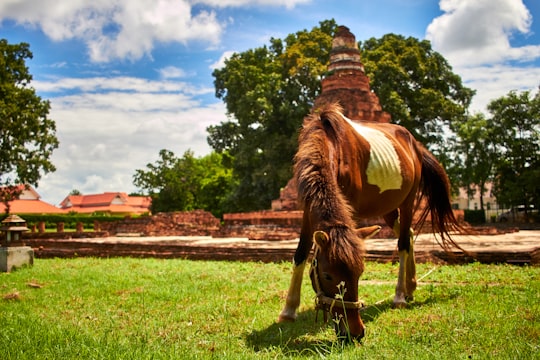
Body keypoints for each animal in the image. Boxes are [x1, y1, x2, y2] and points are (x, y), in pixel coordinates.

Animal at [278, 103, 460, 340]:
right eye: (327, 275)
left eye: (360, 274)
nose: (355, 332)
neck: (330, 145)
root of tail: (415, 145)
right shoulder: (309, 208)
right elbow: (300, 253)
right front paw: (289, 310)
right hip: (388, 208)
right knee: (409, 233)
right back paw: (410, 286)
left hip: (408, 200)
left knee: (403, 242)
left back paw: (400, 295)